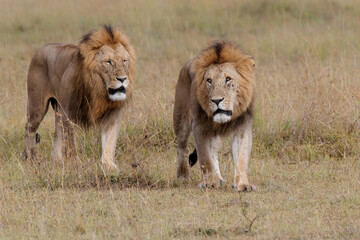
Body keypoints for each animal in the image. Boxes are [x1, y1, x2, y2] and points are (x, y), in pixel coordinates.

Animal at [23, 25, 136, 171]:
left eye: (124, 60)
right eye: (108, 62)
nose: (123, 79)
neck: (99, 90)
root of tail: (40, 49)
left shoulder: (112, 113)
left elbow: (110, 141)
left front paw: (109, 165)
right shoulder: (69, 112)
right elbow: (71, 141)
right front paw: (75, 164)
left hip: (58, 109)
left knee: (57, 133)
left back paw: (57, 161)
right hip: (37, 106)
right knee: (29, 129)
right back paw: (29, 158)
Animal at [172, 40, 255, 191]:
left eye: (228, 79)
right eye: (209, 81)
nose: (216, 100)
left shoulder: (242, 127)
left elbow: (242, 157)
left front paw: (243, 185)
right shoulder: (199, 128)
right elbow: (205, 158)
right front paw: (210, 183)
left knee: (214, 152)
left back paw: (219, 178)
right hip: (182, 119)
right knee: (182, 148)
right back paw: (183, 176)